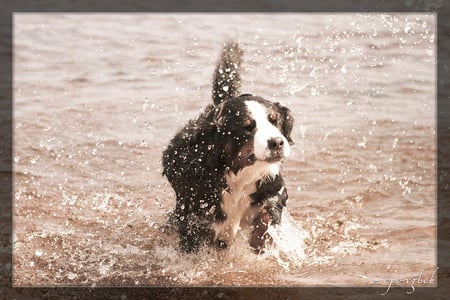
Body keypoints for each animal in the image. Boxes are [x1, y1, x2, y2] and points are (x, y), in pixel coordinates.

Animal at [162, 40, 296, 253]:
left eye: (274, 120)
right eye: (247, 127)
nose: (277, 142)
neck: (238, 176)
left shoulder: (272, 187)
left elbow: (266, 216)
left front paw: (259, 242)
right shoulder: (195, 214)